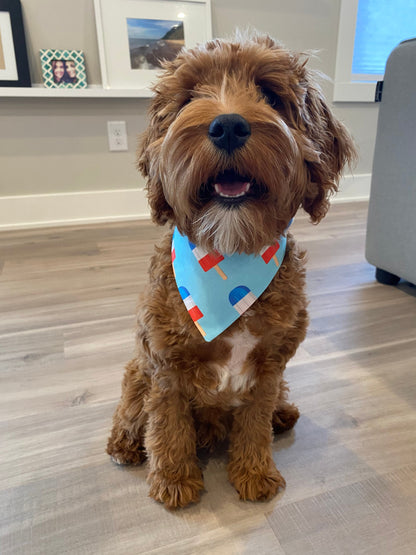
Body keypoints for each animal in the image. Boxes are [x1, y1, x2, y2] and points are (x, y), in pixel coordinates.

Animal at [105, 34, 356, 510]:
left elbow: (254, 423)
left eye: (271, 95)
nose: (227, 126)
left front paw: (255, 473)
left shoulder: (270, 364)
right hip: (135, 369)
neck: (230, 256)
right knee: (131, 406)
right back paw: (125, 443)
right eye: (188, 97)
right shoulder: (164, 364)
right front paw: (174, 480)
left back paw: (283, 413)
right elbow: (167, 426)